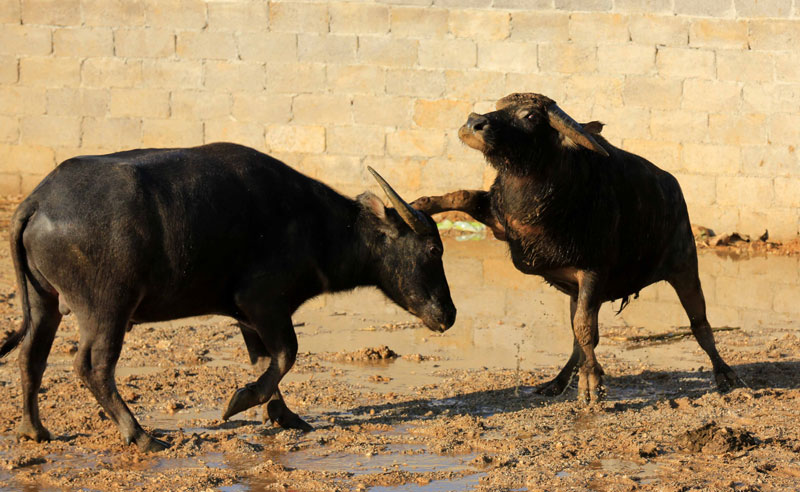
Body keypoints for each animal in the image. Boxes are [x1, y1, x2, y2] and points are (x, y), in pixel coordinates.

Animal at [2, 142, 456, 451]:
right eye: (434, 250)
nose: (449, 314)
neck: (313, 225)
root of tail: (38, 200)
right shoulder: (263, 302)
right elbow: (286, 355)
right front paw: (239, 402)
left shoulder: (247, 315)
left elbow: (264, 361)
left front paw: (284, 415)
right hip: (106, 308)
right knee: (92, 366)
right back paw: (142, 435)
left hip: (44, 302)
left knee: (31, 357)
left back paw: (34, 430)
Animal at [412, 93, 744, 403]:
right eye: (500, 108)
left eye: (530, 115)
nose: (473, 123)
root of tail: (674, 189)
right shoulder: (503, 222)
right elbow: (461, 196)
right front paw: (418, 204)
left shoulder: (593, 272)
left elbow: (584, 328)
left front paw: (592, 386)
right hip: (580, 291)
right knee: (580, 339)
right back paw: (557, 382)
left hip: (685, 268)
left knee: (700, 325)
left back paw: (727, 376)